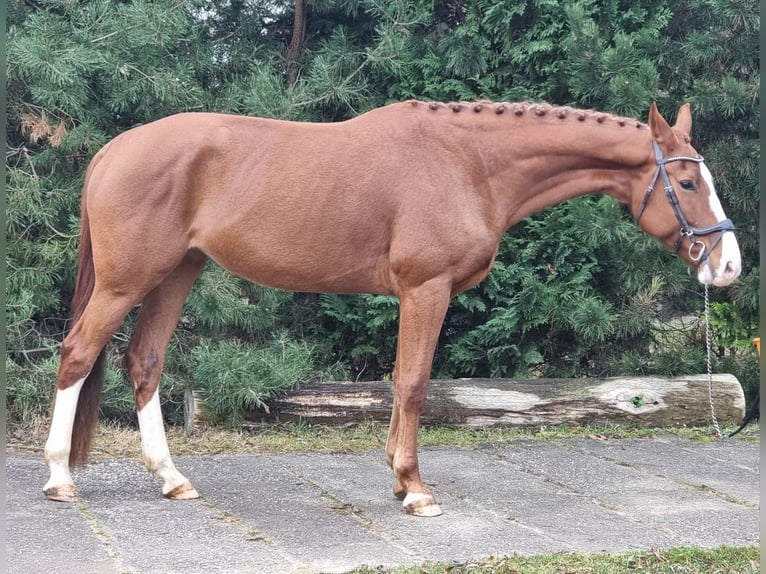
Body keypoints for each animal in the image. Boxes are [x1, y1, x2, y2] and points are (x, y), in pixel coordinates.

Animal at [43, 100, 741, 517]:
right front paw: (415, 488)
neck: (470, 162)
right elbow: (412, 383)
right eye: (686, 182)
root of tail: (113, 150)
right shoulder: (425, 289)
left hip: (175, 274)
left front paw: (401, 480)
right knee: (77, 353)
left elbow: (405, 382)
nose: (729, 266)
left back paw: (172, 478)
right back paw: (59, 479)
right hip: (127, 281)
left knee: (144, 362)